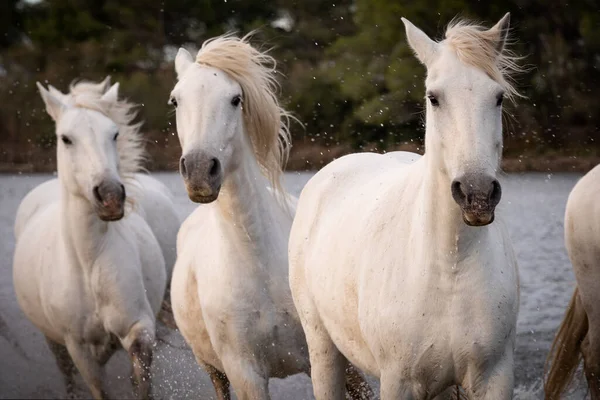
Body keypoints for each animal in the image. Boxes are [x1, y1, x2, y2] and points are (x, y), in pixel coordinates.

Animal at [14, 79, 169, 398]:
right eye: (66, 139)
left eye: (114, 133)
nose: (110, 197)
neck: (90, 263)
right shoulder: (79, 348)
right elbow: (98, 388)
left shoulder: (139, 328)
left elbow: (142, 377)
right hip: (54, 340)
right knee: (66, 373)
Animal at [168, 32, 370, 398]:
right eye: (176, 101)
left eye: (235, 99)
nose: (200, 172)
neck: (258, 262)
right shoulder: (244, 374)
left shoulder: (329, 358)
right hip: (213, 369)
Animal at [290, 13, 520, 400]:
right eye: (434, 98)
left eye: (499, 97)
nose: (476, 195)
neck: (450, 267)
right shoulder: (398, 380)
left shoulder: (495, 378)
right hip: (322, 349)